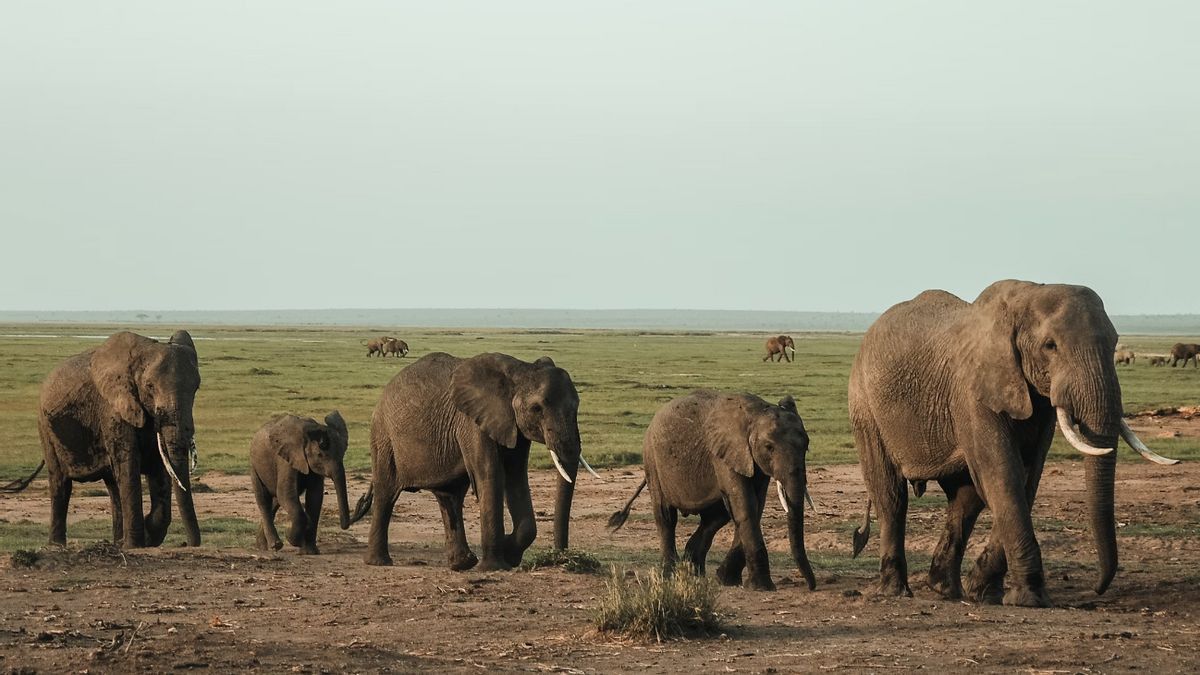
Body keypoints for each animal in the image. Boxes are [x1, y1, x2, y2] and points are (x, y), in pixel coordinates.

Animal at [31, 329, 204, 547]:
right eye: (149, 386)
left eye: (196, 388)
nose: (190, 543)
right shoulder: (113, 410)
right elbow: (129, 464)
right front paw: (135, 545)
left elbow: (160, 466)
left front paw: (145, 536)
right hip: (45, 428)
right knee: (60, 484)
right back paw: (57, 545)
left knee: (113, 486)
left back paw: (116, 541)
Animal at [248, 410, 350, 552]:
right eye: (320, 455)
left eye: (343, 454)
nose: (344, 526)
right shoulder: (286, 460)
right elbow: (286, 494)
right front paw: (291, 537)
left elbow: (315, 497)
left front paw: (311, 551)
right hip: (255, 466)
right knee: (264, 500)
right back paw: (274, 545)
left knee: (275, 502)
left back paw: (262, 547)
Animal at [350, 353, 600, 566]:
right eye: (536, 408)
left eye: (576, 406)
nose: (562, 556)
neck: (520, 370)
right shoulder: (472, 421)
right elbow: (491, 474)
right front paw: (494, 566)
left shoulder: (512, 426)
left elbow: (516, 477)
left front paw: (509, 554)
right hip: (383, 437)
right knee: (386, 493)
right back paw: (378, 562)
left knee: (449, 496)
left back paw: (462, 565)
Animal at [609, 389, 816, 588]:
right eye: (769, 447)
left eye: (806, 446)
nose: (811, 586)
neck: (757, 413)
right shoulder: (724, 454)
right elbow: (745, 506)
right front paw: (761, 586)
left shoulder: (753, 461)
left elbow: (755, 506)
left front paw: (727, 580)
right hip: (652, 459)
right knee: (666, 516)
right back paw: (670, 575)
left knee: (715, 517)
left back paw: (693, 572)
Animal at [849, 278, 1176, 605]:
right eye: (1050, 346)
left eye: (1114, 343)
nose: (1097, 589)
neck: (1026, 297)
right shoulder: (972, 392)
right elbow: (1003, 475)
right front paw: (1030, 599)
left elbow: (1026, 479)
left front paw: (985, 592)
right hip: (865, 404)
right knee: (891, 495)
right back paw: (895, 591)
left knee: (964, 500)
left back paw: (945, 590)